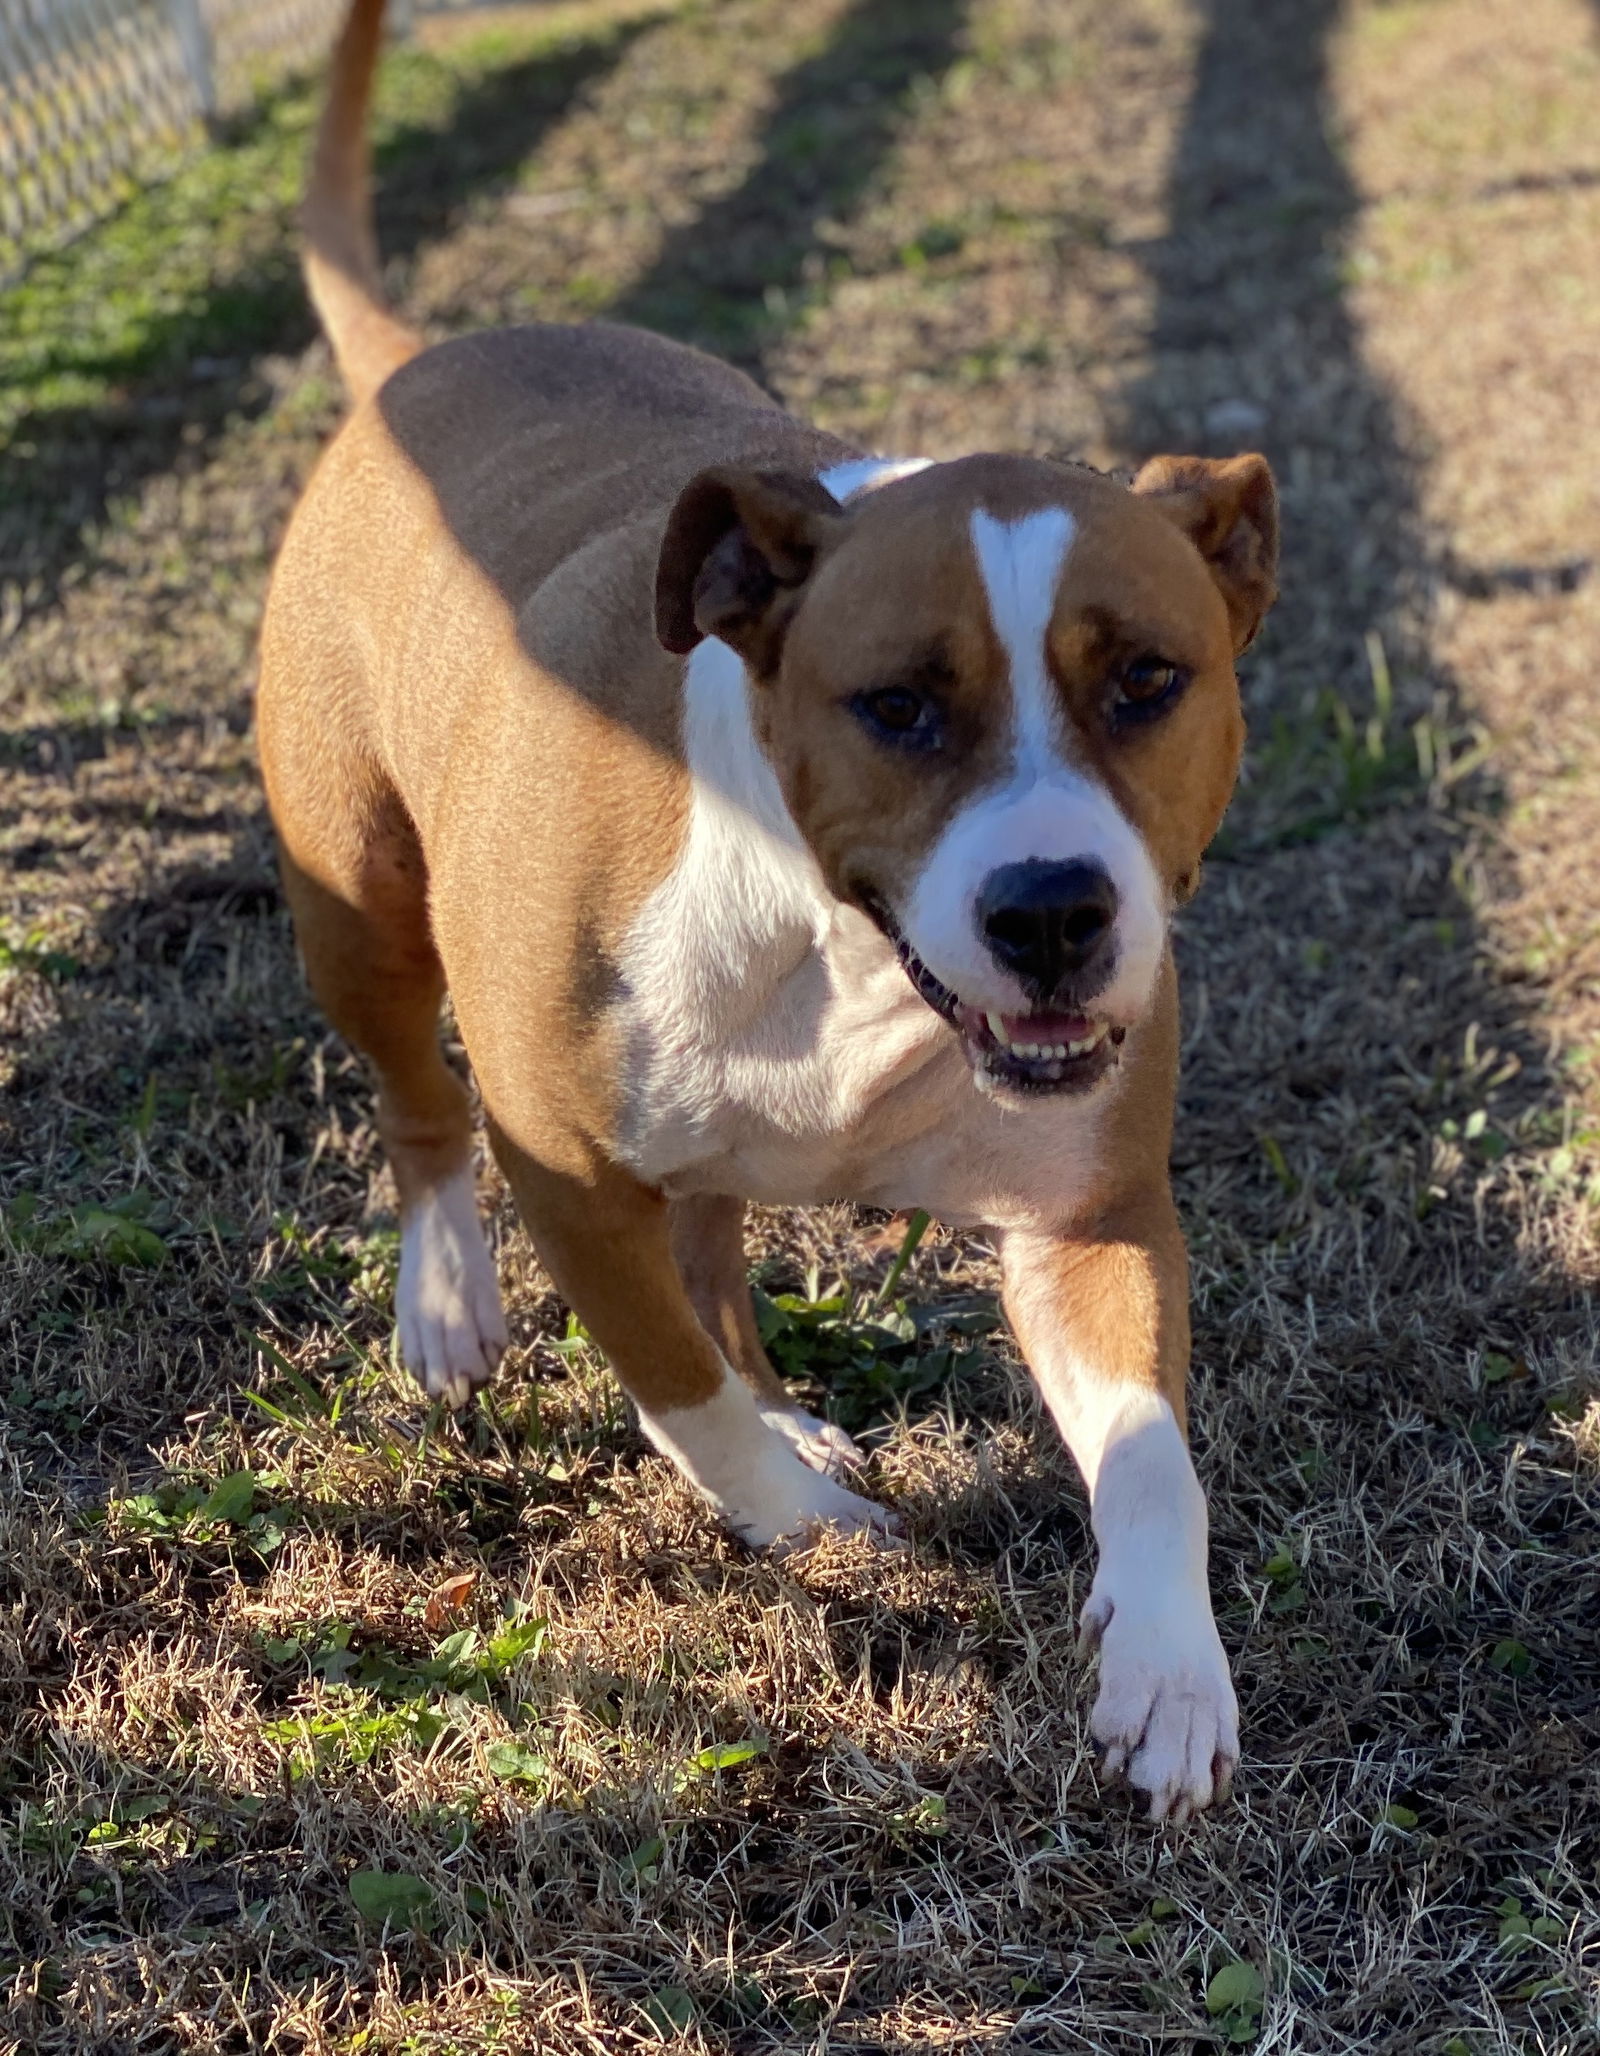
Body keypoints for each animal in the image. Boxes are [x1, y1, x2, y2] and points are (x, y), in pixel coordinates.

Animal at [259, 0, 1275, 1825]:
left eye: (1150, 679)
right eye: (900, 706)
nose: (1052, 913)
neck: (845, 957)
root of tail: (417, 363)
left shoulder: (1092, 1210)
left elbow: (1156, 1458)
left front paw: (1168, 1662)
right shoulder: (564, 1170)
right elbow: (672, 1388)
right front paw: (803, 1519)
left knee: (717, 1245)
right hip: (356, 904)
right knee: (418, 1100)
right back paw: (449, 1300)